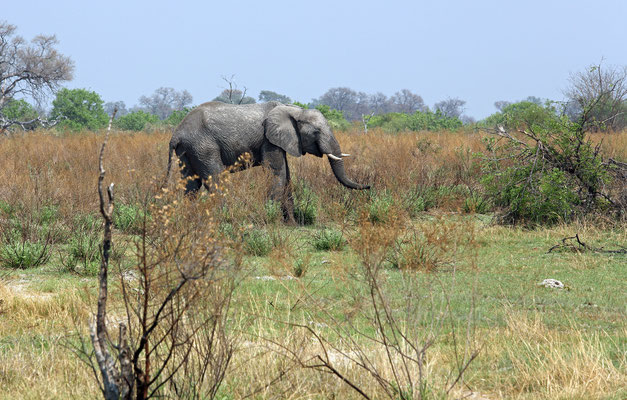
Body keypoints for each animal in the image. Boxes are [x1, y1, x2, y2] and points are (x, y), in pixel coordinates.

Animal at [169, 101, 370, 222]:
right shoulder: (269, 140)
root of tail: (176, 133)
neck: (293, 109)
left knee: (191, 183)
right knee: (215, 179)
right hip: (204, 146)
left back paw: (191, 219)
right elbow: (277, 173)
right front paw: (272, 220)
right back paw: (225, 218)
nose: (369, 186)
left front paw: (291, 225)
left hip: (189, 150)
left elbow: (287, 176)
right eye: (316, 132)